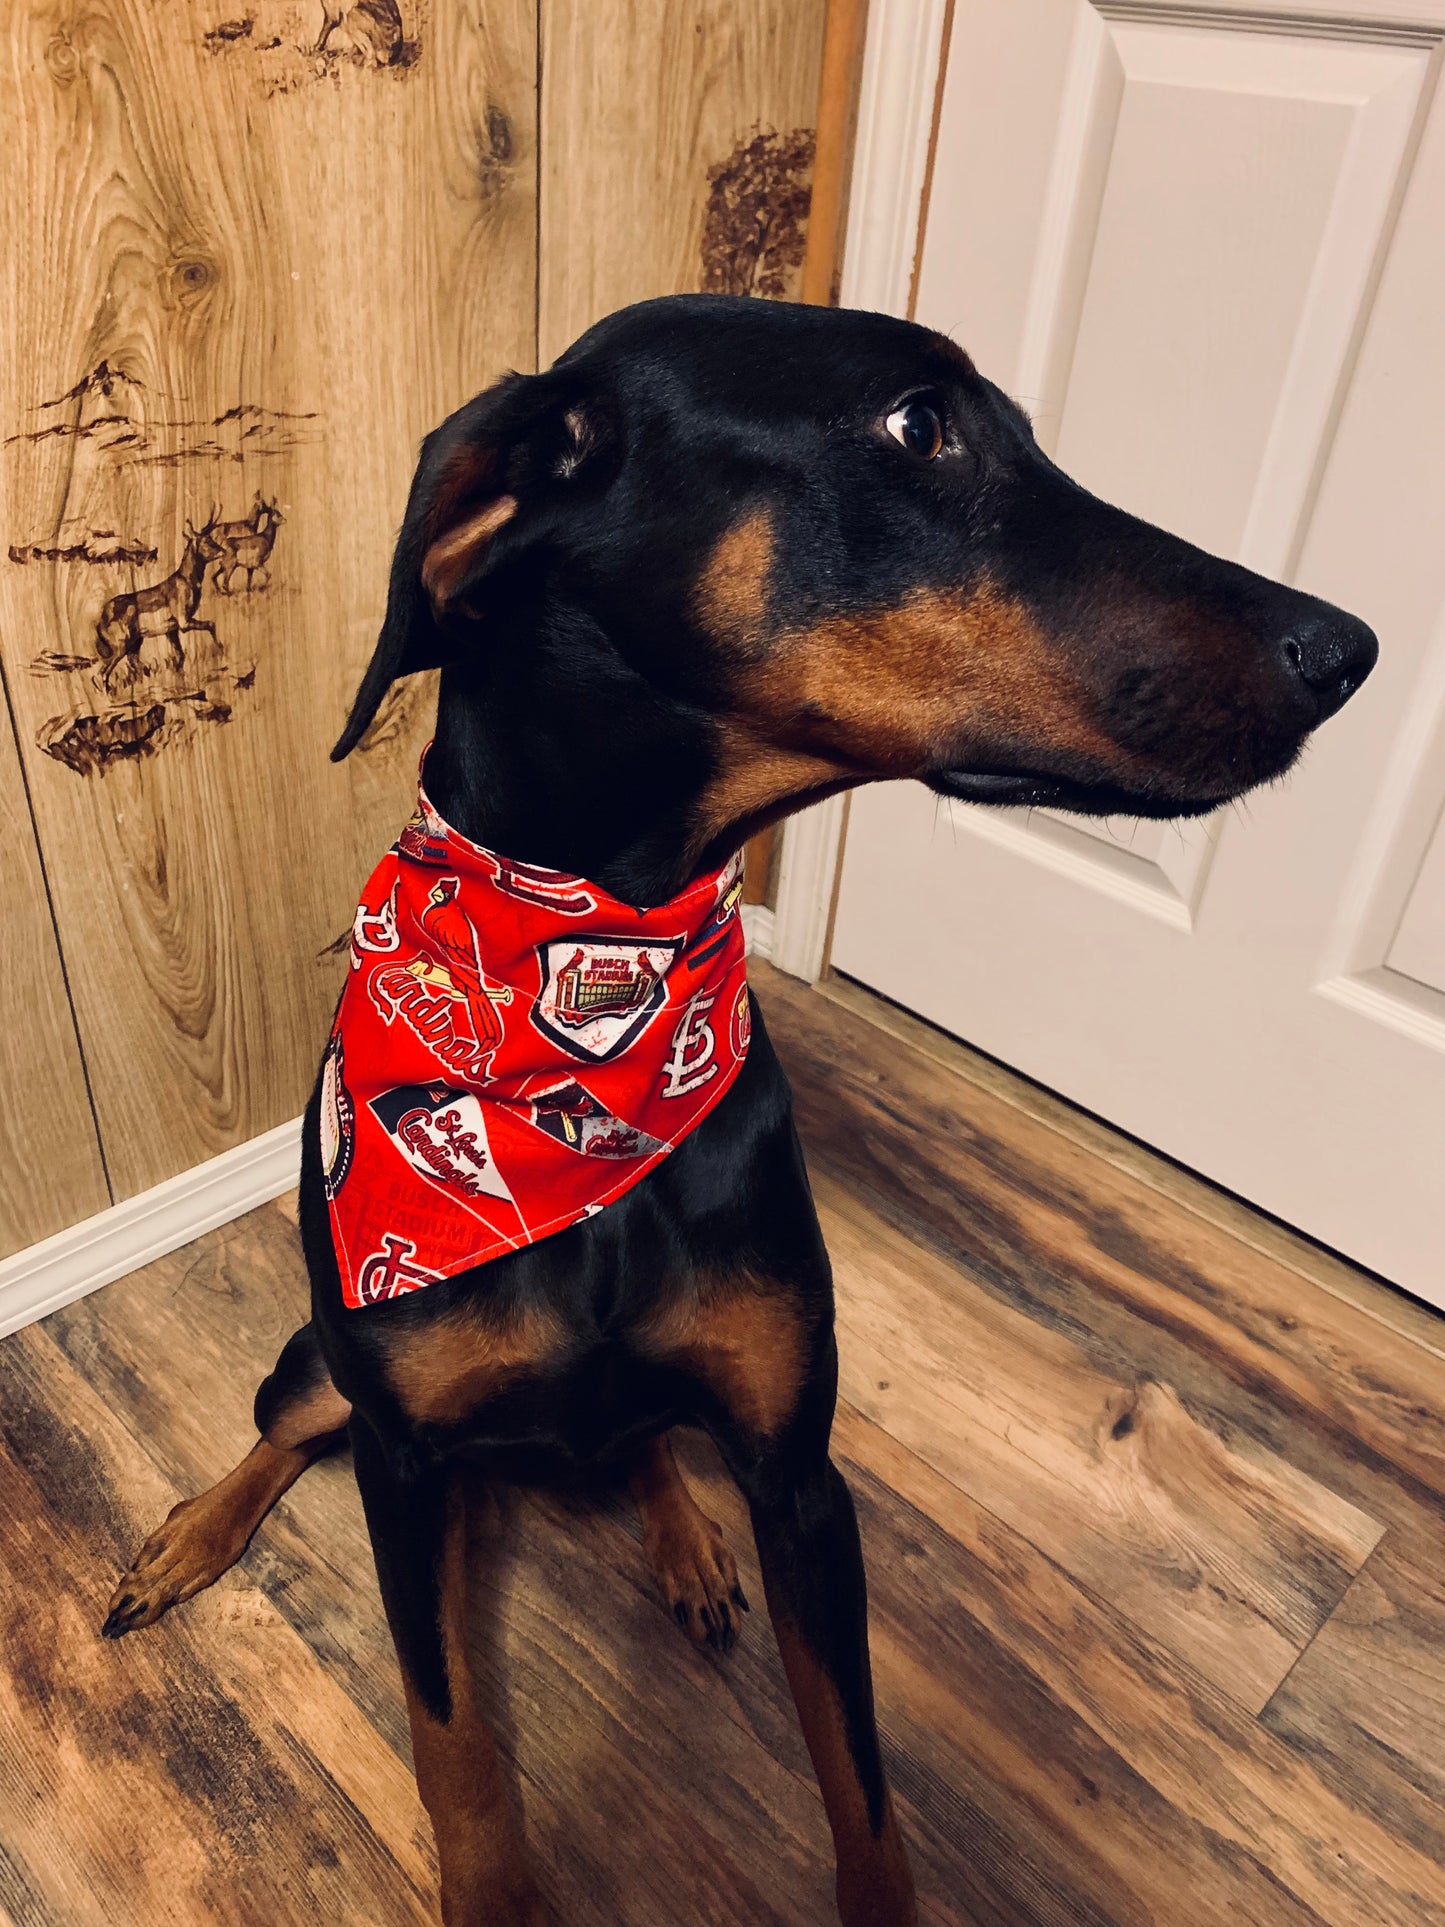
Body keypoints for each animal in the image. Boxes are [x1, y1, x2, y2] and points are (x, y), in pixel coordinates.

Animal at [102, 292, 1379, 1919]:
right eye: (919, 424)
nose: (1350, 647)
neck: (584, 1036)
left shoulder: (797, 1470)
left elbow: (862, 1785)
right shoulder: (405, 1465)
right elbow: (457, 1754)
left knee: (645, 1433)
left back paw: (681, 1535)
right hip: (329, 1362)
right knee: (280, 1428)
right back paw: (185, 1538)